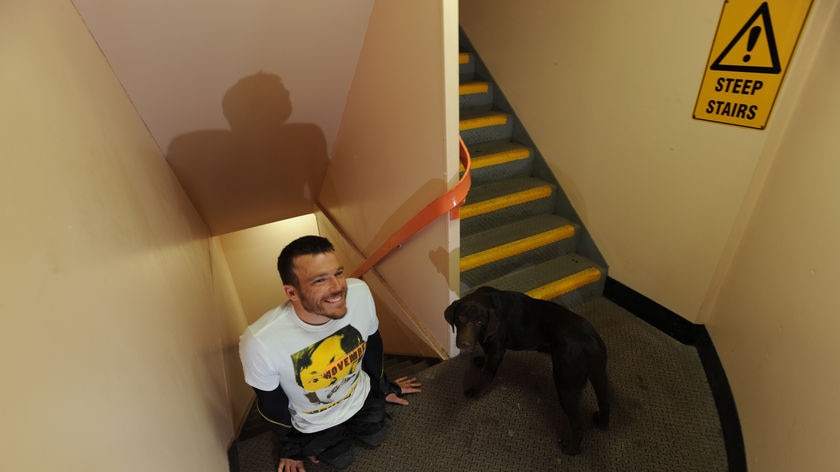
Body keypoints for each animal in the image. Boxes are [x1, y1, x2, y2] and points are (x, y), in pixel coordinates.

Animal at [446, 286, 612, 456]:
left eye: (480, 322)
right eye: (460, 317)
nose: (464, 344)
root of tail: (593, 340)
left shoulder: (496, 349)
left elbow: (487, 374)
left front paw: (476, 390)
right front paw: (481, 361)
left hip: (566, 384)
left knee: (578, 425)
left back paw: (571, 449)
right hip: (597, 376)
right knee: (605, 403)